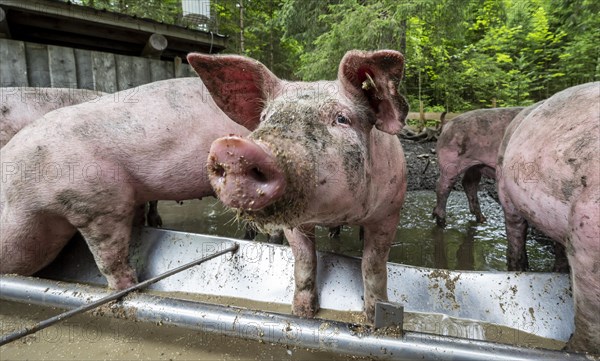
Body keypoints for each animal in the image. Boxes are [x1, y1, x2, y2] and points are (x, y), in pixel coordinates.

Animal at [188, 50, 410, 320]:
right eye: (264, 117)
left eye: (342, 118)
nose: (232, 148)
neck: (335, 213)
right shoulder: (294, 224)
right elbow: (304, 260)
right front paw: (301, 313)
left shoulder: (389, 212)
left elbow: (374, 264)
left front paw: (371, 316)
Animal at [496, 81, 600, 352]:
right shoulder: (586, 237)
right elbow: (590, 325)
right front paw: (570, 351)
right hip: (504, 180)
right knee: (515, 231)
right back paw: (518, 267)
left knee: (558, 245)